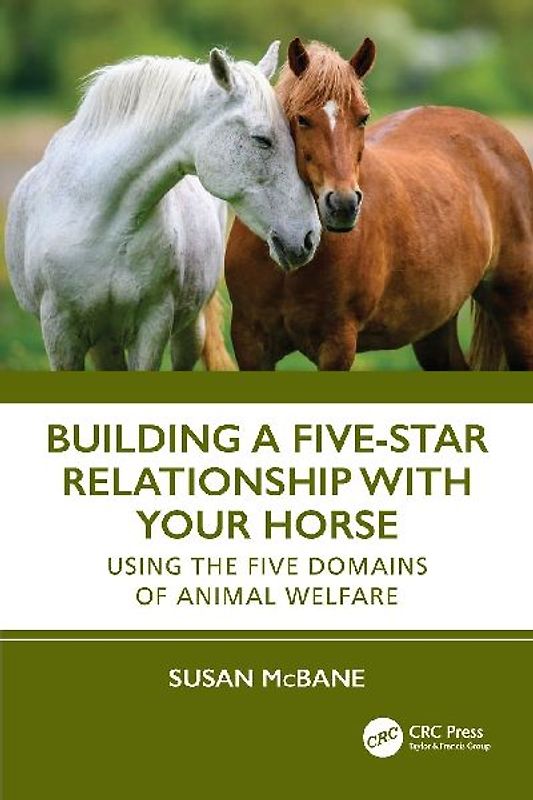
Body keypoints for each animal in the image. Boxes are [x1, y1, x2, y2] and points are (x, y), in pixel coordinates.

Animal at [5, 42, 321, 370]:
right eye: (262, 139)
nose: (309, 237)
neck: (98, 220)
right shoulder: (60, 333)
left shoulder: (152, 326)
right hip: (104, 342)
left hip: (188, 331)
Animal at [226, 38, 533, 370]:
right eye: (303, 119)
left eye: (362, 118)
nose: (343, 205)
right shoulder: (250, 342)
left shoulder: (337, 344)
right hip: (435, 328)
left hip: (517, 315)